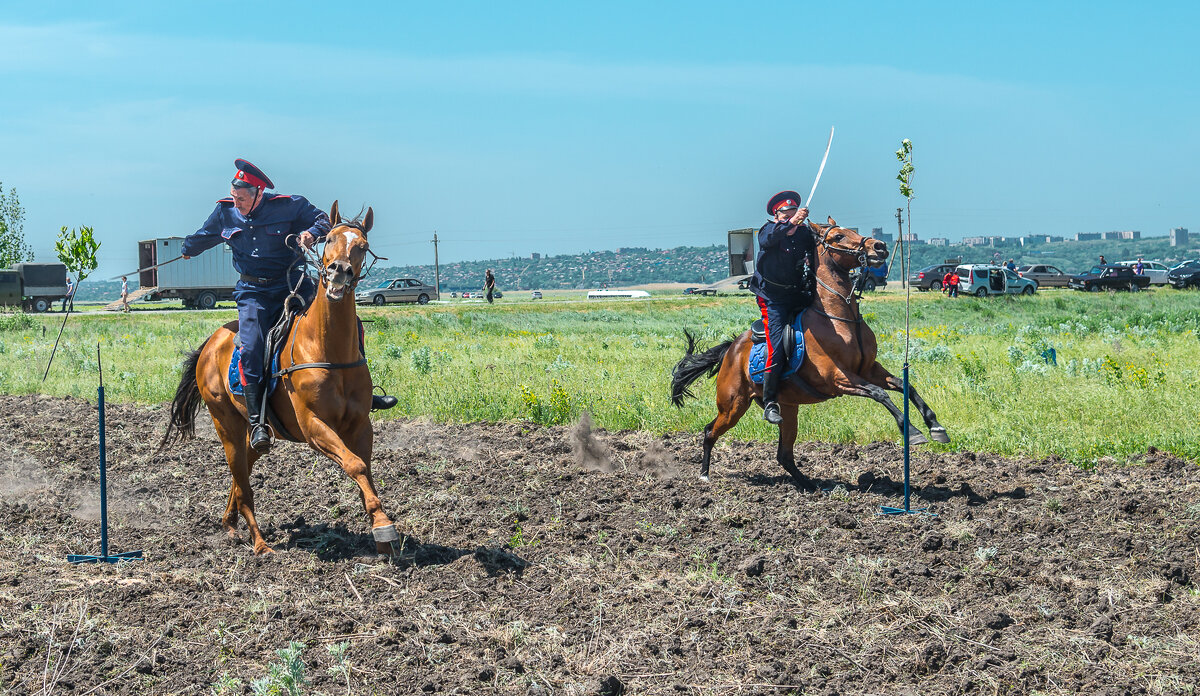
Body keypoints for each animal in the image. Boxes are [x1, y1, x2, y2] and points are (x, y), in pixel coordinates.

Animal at [160, 201, 398, 554]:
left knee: (241, 473)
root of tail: (212, 342)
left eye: (362, 246)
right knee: (241, 478)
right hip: (226, 424)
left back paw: (230, 524)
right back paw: (259, 544)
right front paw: (383, 527)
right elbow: (354, 464)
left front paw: (380, 527)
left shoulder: (360, 424)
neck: (327, 348)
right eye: (329, 239)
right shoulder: (314, 426)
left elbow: (362, 467)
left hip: (256, 435)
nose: (339, 271)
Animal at [672, 220, 950, 487]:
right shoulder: (838, 378)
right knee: (709, 432)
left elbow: (904, 385)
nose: (879, 246)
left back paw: (810, 485)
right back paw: (704, 475)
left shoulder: (869, 369)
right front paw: (911, 431)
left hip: (788, 409)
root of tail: (731, 350)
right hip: (733, 407)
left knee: (784, 455)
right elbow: (879, 393)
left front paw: (935, 425)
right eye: (838, 236)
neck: (840, 319)